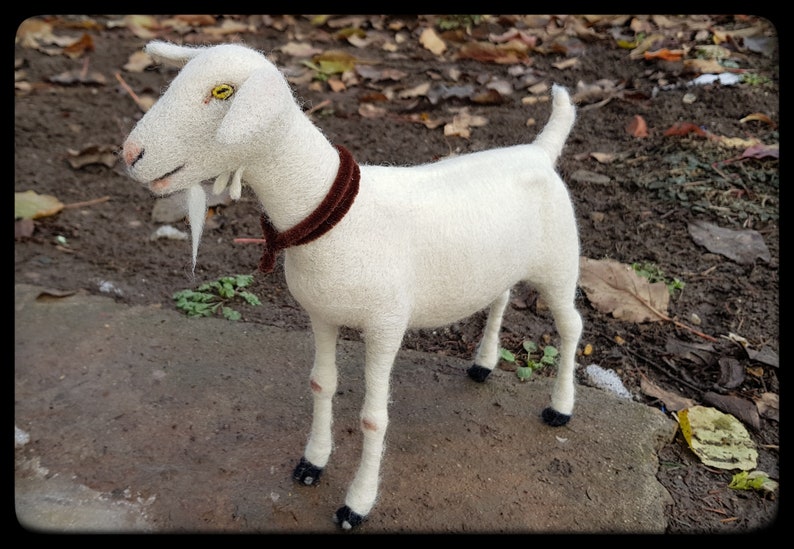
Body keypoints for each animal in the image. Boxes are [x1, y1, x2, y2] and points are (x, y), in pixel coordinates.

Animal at [124, 40, 580, 528]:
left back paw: (559, 408)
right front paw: (312, 462)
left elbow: (373, 419)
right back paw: (483, 364)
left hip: (559, 266)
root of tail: (539, 151)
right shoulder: (321, 315)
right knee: (501, 296)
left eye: (222, 91)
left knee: (571, 327)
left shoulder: (385, 327)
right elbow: (321, 384)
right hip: (502, 263)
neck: (334, 213)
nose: (130, 153)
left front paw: (357, 502)